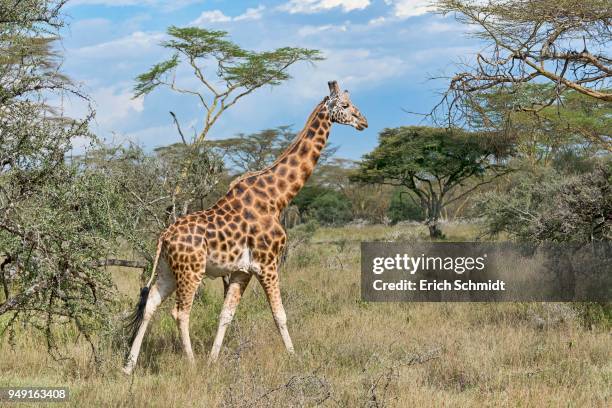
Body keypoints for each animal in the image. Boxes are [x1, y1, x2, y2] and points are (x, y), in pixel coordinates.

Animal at [122, 79, 366, 372]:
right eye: (345, 105)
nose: (363, 121)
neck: (277, 198)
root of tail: (164, 237)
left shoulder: (242, 271)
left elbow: (226, 315)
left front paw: (213, 361)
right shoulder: (267, 263)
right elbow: (280, 314)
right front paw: (294, 358)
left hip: (168, 270)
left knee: (150, 305)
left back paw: (128, 367)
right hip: (191, 271)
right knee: (180, 312)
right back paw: (191, 364)